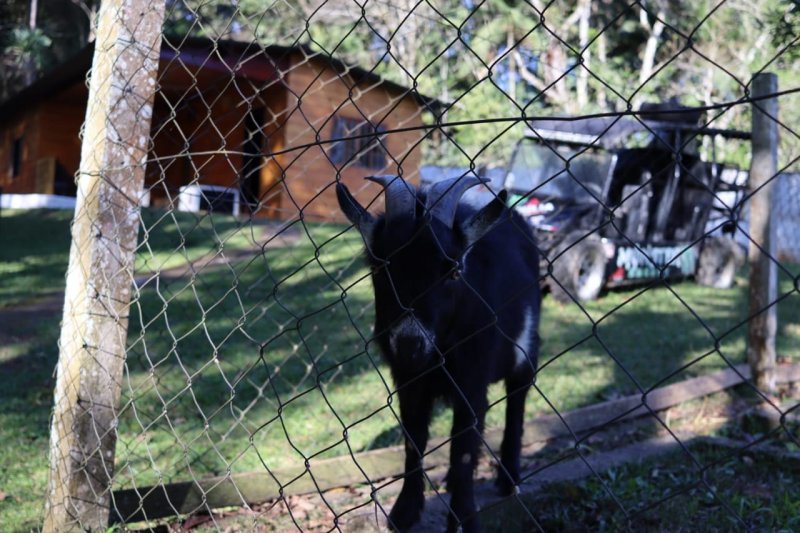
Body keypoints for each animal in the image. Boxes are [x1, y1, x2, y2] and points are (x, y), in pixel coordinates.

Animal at [334, 176, 540, 532]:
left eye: (454, 272)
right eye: (380, 269)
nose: (409, 345)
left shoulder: (472, 377)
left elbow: (464, 444)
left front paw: (463, 518)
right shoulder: (408, 382)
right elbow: (414, 438)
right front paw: (404, 512)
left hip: (526, 350)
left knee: (517, 400)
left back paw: (508, 477)